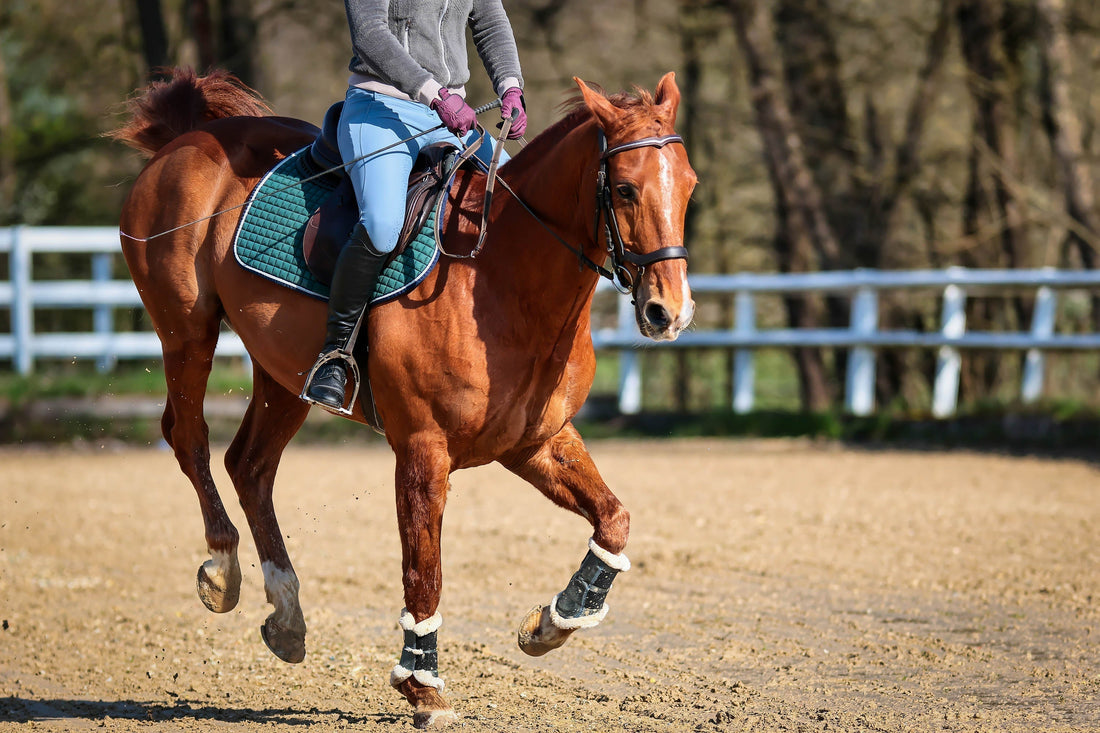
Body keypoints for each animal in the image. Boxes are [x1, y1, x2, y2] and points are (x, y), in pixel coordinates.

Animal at [112, 67, 696, 727]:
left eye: (690, 187)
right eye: (623, 189)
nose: (669, 312)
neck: (502, 279)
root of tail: (188, 139)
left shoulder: (536, 443)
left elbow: (614, 520)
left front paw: (555, 620)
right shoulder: (422, 452)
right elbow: (424, 571)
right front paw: (422, 685)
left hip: (284, 374)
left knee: (251, 466)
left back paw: (287, 615)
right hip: (187, 333)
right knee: (189, 438)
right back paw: (221, 568)